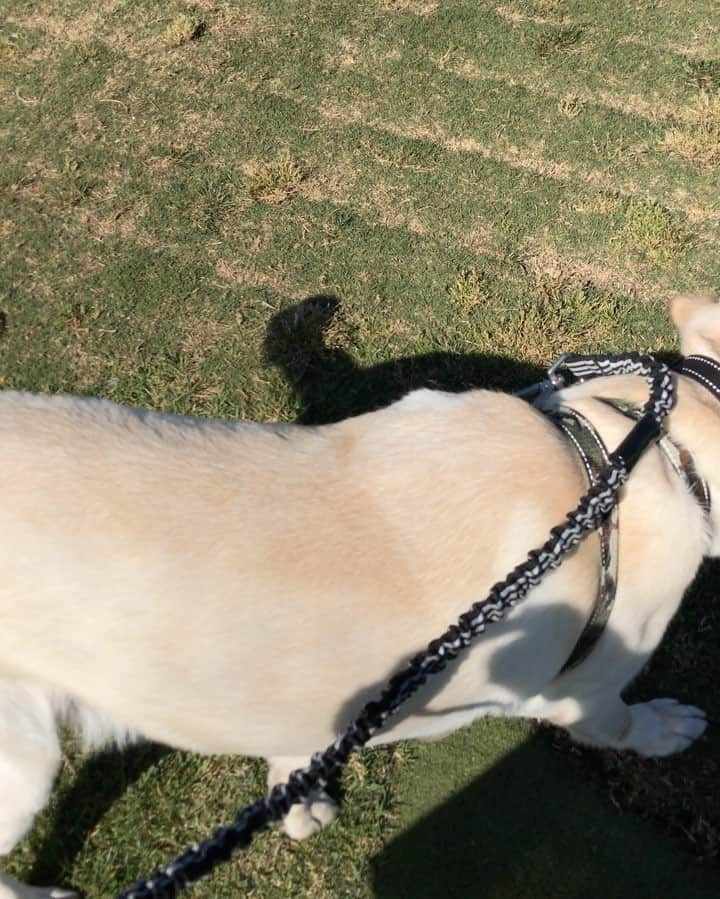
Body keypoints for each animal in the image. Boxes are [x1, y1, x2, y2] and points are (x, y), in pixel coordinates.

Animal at [0, 298, 712, 899]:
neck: (622, 449)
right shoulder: (582, 692)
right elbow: (622, 723)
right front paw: (669, 725)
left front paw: (296, 804)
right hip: (23, 759)